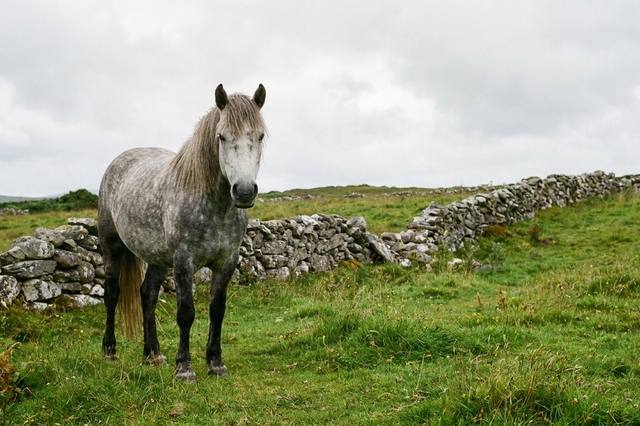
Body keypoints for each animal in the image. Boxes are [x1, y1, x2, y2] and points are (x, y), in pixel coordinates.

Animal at [97, 84, 267, 382]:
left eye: (260, 136)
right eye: (221, 136)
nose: (245, 191)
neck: (214, 205)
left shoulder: (226, 261)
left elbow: (217, 310)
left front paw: (215, 363)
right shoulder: (184, 262)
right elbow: (186, 313)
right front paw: (184, 368)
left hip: (156, 258)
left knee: (147, 295)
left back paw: (152, 355)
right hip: (112, 248)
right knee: (112, 294)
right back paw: (110, 351)